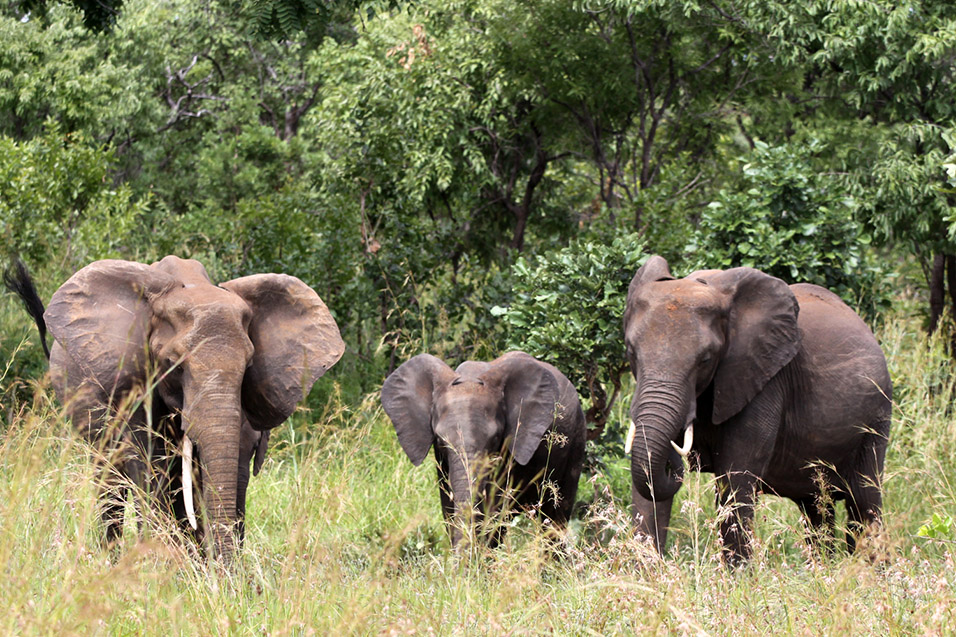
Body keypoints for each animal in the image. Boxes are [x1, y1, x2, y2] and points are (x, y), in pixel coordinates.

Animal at [380, 348, 588, 548]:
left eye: (495, 438)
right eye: (439, 440)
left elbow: (493, 511)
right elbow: (449, 510)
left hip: (576, 440)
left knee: (555, 516)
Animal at [624, 253, 892, 560]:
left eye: (706, 359)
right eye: (631, 351)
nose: (677, 459)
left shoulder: (764, 380)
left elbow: (736, 479)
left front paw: (739, 571)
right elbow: (648, 494)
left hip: (876, 419)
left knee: (864, 501)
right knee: (816, 507)